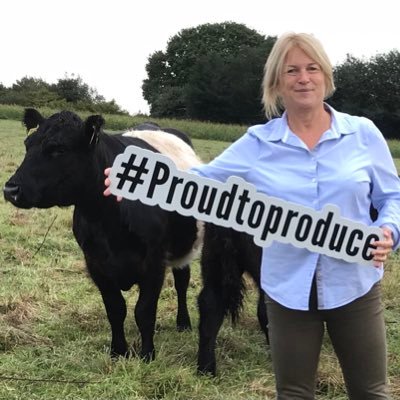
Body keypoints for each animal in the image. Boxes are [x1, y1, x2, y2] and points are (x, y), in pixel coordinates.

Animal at [2, 108, 203, 360]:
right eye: (27, 145)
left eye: (59, 149)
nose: (10, 189)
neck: (108, 221)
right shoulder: (96, 263)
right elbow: (115, 309)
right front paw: (118, 351)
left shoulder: (155, 262)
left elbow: (144, 311)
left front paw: (147, 354)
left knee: (182, 282)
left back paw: (183, 323)